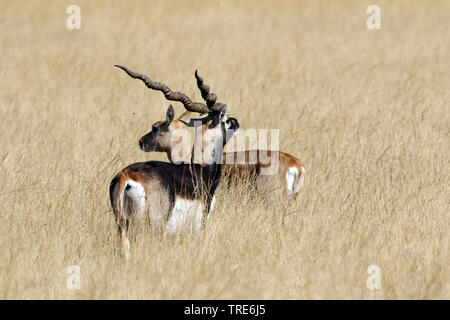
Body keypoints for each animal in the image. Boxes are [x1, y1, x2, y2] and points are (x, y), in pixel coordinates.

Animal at [109, 65, 239, 258]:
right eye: (226, 119)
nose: (237, 122)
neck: (200, 170)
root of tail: (126, 176)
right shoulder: (199, 225)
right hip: (153, 227)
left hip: (122, 224)